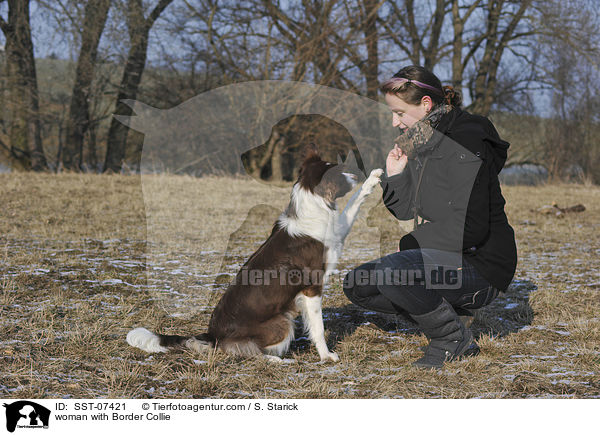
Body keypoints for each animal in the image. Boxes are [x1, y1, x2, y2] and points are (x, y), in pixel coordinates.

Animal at [127, 145, 384, 362]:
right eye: (340, 173)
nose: (356, 177)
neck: (312, 201)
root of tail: (213, 335)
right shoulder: (312, 286)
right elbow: (319, 328)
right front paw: (327, 356)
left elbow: (352, 206)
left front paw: (372, 180)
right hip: (282, 321)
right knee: (246, 351)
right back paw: (274, 359)